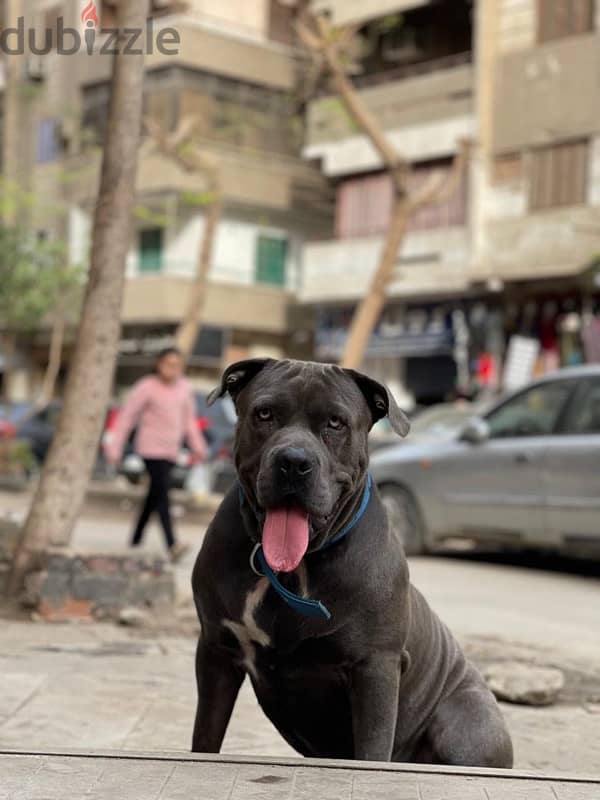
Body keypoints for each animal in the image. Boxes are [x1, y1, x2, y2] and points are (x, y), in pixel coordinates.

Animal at [191, 360, 510, 764]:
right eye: (264, 414)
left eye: (335, 422)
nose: (293, 461)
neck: (291, 569)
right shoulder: (217, 651)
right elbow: (205, 737)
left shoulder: (375, 669)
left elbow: (372, 752)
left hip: (465, 725)